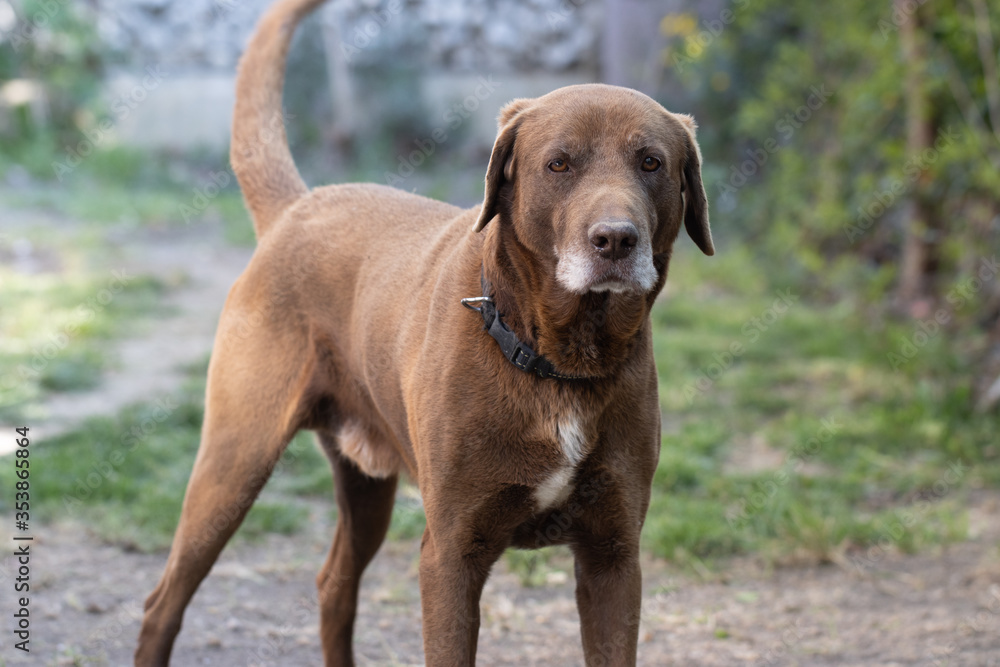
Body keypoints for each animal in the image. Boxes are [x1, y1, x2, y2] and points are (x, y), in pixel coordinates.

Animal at [135, 0, 712, 664]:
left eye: (652, 162)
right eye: (559, 164)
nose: (616, 240)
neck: (556, 360)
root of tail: (298, 206)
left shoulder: (613, 559)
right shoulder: (450, 555)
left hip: (363, 486)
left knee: (333, 583)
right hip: (234, 461)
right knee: (162, 603)